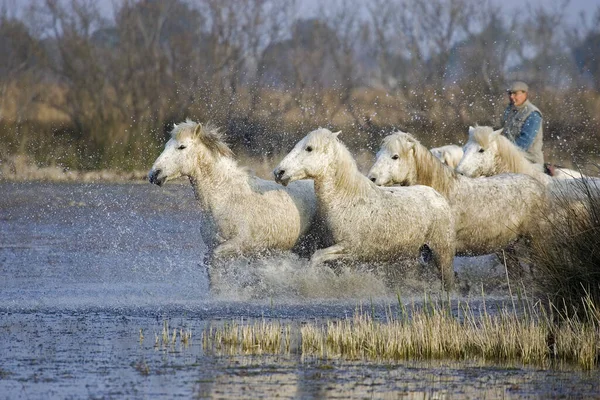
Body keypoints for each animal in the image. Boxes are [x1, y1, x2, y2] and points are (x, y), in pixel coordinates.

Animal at [147, 120, 322, 282]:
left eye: (181, 147)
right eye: (166, 145)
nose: (154, 174)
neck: (224, 197)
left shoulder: (237, 244)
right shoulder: (214, 245)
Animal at [274, 128, 454, 290]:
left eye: (309, 148)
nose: (278, 172)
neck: (346, 199)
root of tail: (439, 197)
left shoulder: (350, 248)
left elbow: (316, 257)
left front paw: (310, 279)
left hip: (441, 253)